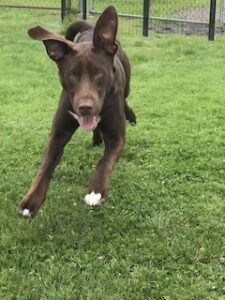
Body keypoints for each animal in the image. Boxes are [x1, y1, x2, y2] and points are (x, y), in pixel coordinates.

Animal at [17, 5, 135, 218]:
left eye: (99, 73)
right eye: (71, 75)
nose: (85, 107)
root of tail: (91, 27)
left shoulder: (117, 136)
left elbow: (104, 161)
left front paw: (95, 191)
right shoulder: (58, 133)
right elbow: (45, 167)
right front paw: (31, 200)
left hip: (127, 85)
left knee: (125, 98)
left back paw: (130, 115)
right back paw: (96, 139)